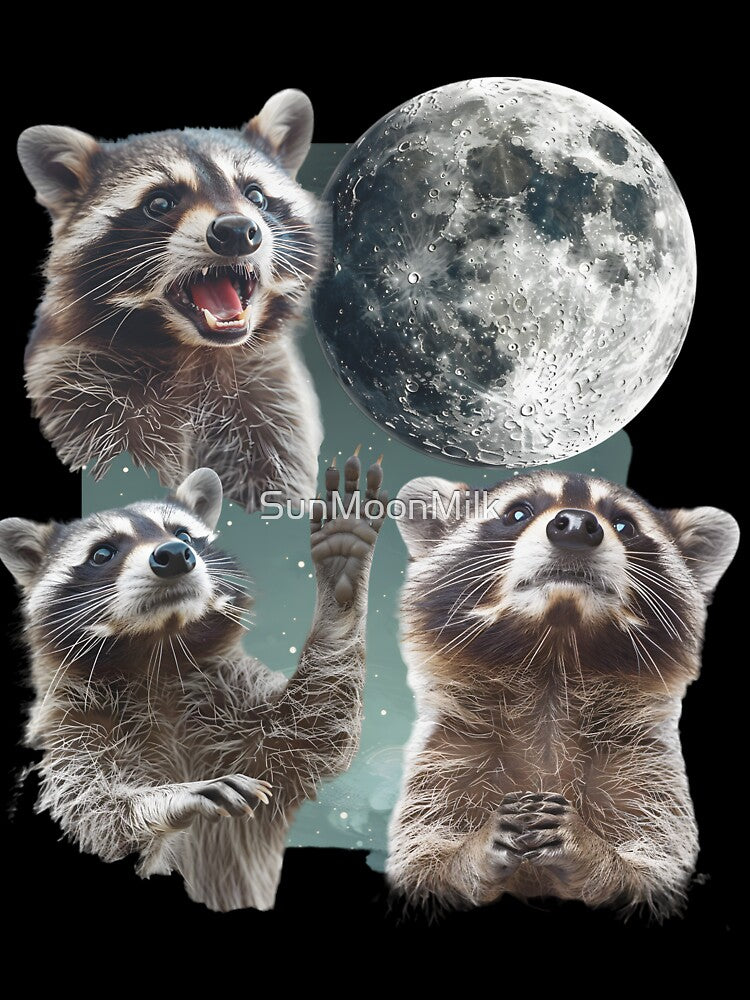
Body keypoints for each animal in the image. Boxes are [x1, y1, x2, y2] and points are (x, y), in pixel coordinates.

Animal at [0, 453, 386, 911]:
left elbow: (313, 730)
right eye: (102, 553)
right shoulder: (67, 721)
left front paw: (340, 586)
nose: (173, 554)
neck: (157, 653)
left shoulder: (225, 690)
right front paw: (167, 799)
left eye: (183, 533)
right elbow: (87, 815)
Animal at [18, 90, 325, 511]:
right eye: (160, 203)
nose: (237, 230)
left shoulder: (272, 408)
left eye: (255, 194)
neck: (195, 354)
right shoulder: (73, 389)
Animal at [387, 472, 739, 919]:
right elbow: (422, 870)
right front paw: (469, 853)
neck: (554, 663)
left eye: (624, 524)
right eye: (518, 512)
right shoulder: (449, 755)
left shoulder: (646, 767)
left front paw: (596, 855)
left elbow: (653, 877)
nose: (574, 525)